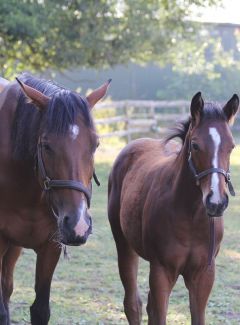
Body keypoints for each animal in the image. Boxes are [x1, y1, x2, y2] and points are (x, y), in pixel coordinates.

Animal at [108, 92, 238, 324]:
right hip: (124, 244)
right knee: (133, 304)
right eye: (195, 145)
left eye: (231, 146)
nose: (216, 202)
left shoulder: (204, 275)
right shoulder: (161, 271)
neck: (191, 217)